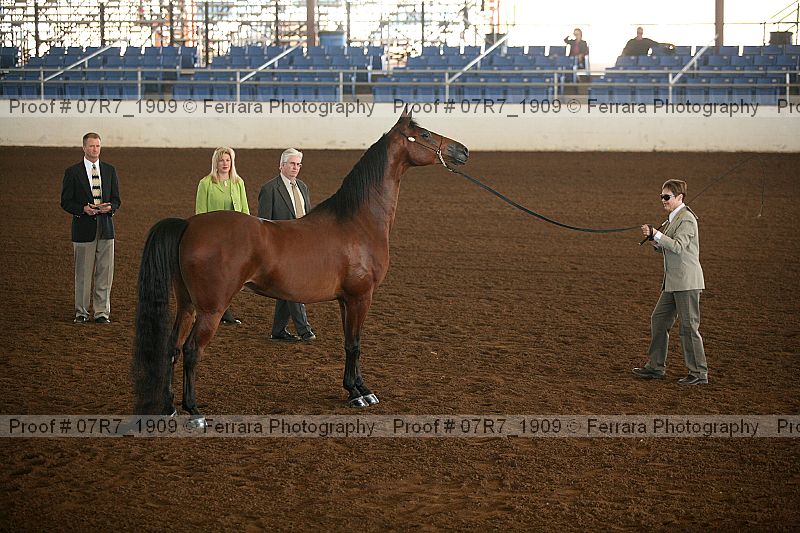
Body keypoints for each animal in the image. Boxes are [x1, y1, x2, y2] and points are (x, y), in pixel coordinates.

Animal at [132, 109, 469, 422]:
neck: (358, 221)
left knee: (172, 348)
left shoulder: (345, 300)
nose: (462, 150)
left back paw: (168, 407)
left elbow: (349, 343)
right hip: (211, 309)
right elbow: (356, 344)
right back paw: (193, 409)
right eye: (424, 134)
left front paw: (355, 388)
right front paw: (361, 393)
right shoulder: (361, 297)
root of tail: (189, 224)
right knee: (191, 351)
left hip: (188, 304)